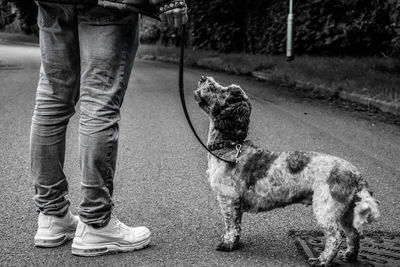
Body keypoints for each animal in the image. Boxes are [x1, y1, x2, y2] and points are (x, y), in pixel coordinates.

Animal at [194, 76, 382, 266]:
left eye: (223, 91)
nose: (203, 78)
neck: (231, 147)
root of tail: (355, 173)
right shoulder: (234, 203)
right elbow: (236, 225)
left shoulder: (229, 199)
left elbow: (231, 225)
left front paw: (228, 244)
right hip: (345, 210)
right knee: (353, 233)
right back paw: (350, 255)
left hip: (326, 208)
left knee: (335, 237)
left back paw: (322, 260)